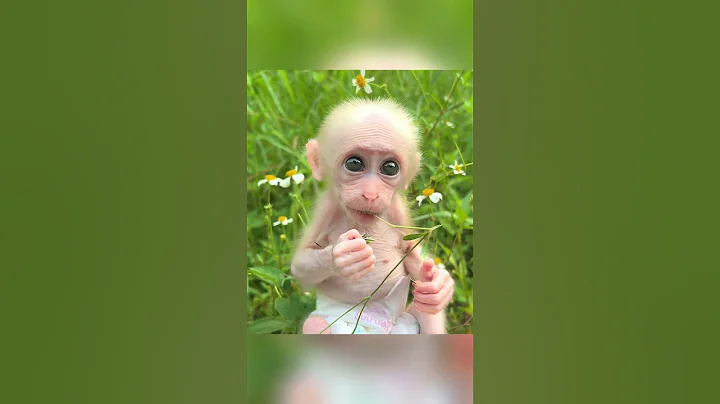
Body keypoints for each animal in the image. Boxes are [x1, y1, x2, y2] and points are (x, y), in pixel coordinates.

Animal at [290, 98, 455, 334]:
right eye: (354, 163)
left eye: (390, 167)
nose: (370, 194)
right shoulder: (326, 210)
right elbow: (301, 265)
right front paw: (341, 256)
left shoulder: (397, 211)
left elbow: (411, 251)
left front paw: (439, 283)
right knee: (315, 324)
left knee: (428, 312)